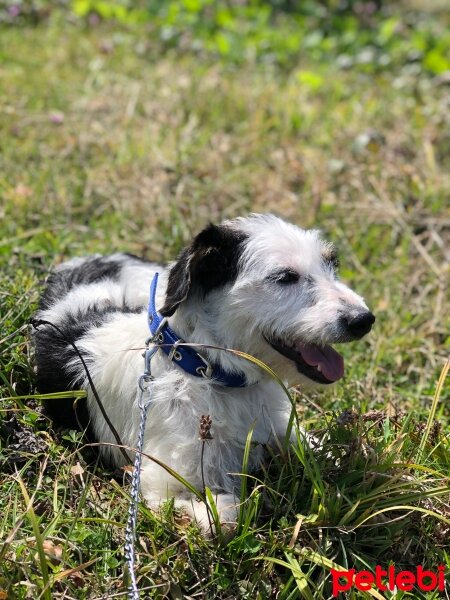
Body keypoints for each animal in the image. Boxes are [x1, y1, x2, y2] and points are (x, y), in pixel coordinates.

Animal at [33, 213, 374, 532]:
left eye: (332, 263)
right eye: (285, 277)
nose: (364, 319)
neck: (204, 369)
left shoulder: (279, 426)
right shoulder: (162, 483)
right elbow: (228, 515)